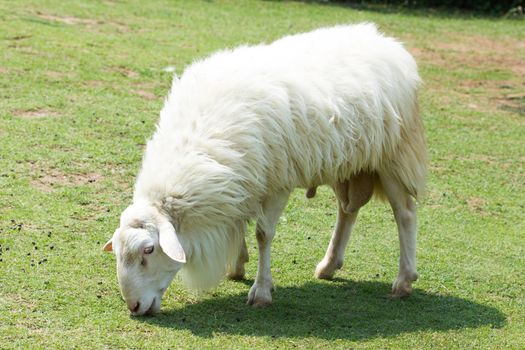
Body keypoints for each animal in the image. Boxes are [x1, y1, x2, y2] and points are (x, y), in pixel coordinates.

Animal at [102, 23, 426, 316]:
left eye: (148, 250)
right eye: (117, 251)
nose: (133, 307)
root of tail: (386, 41)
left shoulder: (276, 181)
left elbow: (263, 234)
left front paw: (261, 291)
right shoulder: (243, 178)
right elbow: (240, 222)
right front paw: (237, 265)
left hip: (393, 155)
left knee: (405, 212)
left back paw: (403, 280)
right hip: (346, 162)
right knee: (347, 211)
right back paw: (329, 265)